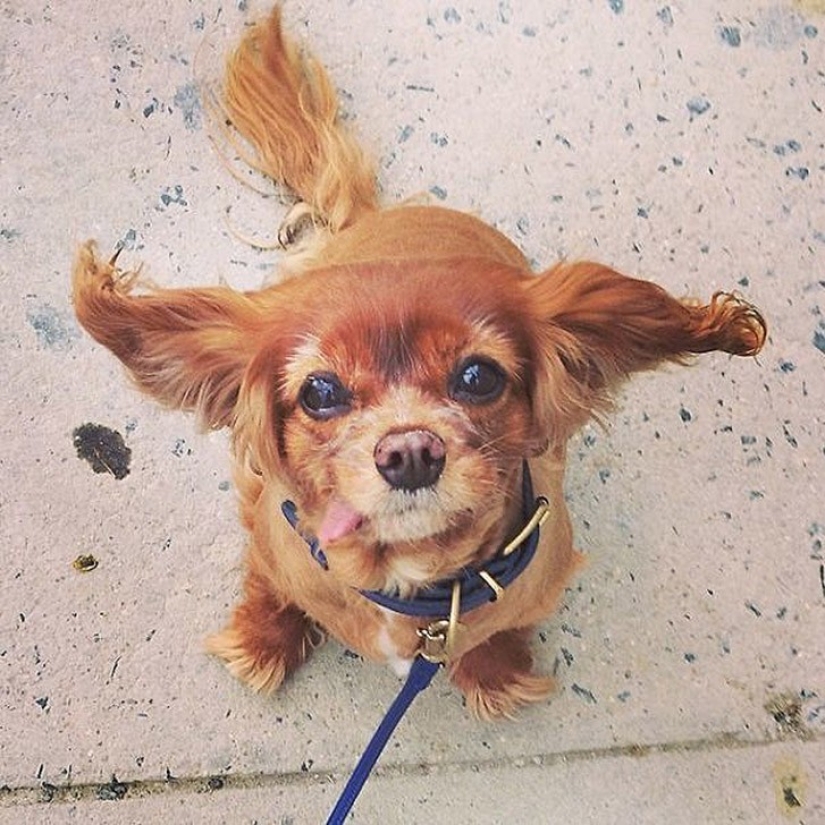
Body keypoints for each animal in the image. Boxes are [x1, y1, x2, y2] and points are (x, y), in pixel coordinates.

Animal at [72, 6, 768, 716]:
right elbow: (270, 579)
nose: (410, 453)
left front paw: (493, 668)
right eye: (320, 391)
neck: (406, 580)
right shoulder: (272, 537)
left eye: (478, 377)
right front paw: (266, 639)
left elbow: (503, 628)